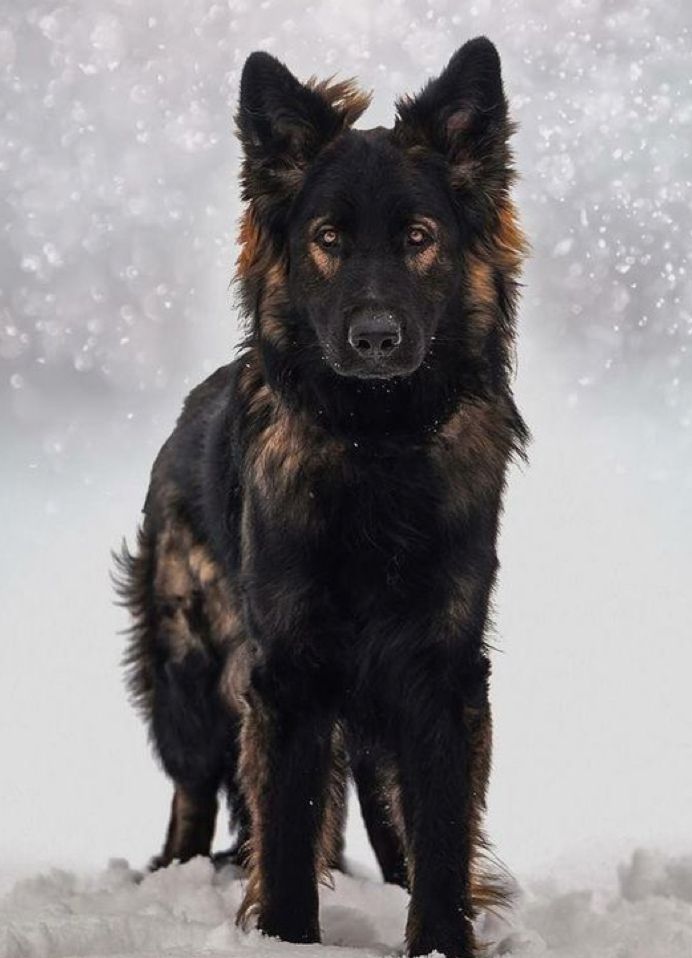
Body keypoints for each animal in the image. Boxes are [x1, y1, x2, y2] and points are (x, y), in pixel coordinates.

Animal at [116, 37, 528, 958]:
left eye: (418, 238)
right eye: (329, 239)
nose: (375, 338)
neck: (377, 445)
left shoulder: (439, 674)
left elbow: (441, 838)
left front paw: (442, 938)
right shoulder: (290, 681)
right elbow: (287, 838)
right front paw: (285, 936)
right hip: (192, 679)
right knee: (193, 790)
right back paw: (175, 875)